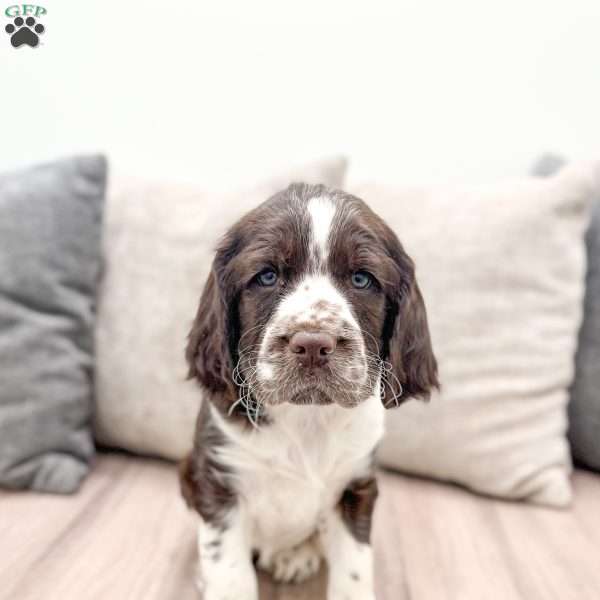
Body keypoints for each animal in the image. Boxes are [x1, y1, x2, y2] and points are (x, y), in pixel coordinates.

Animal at [180, 183, 438, 600]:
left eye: (362, 279)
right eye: (267, 276)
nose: (314, 344)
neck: (308, 418)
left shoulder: (355, 487)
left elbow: (353, 573)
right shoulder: (218, 482)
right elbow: (230, 572)